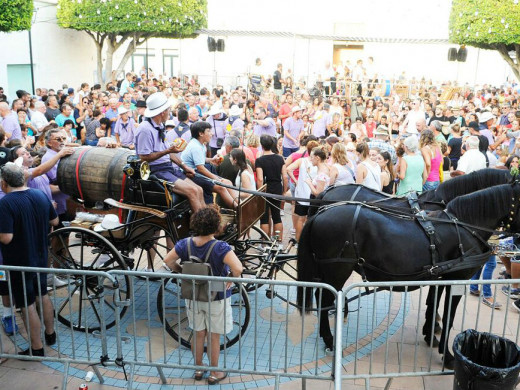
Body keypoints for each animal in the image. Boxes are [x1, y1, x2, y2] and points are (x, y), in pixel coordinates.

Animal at [296, 182, 520, 366]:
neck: (464, 226)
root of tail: (320, 213)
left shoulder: (441, 277)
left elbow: (434, 303)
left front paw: (430, 333)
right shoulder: (457, 279)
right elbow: (448, 316)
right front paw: (446, 354)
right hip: (337, 269)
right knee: (325, 299)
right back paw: (330, 339)